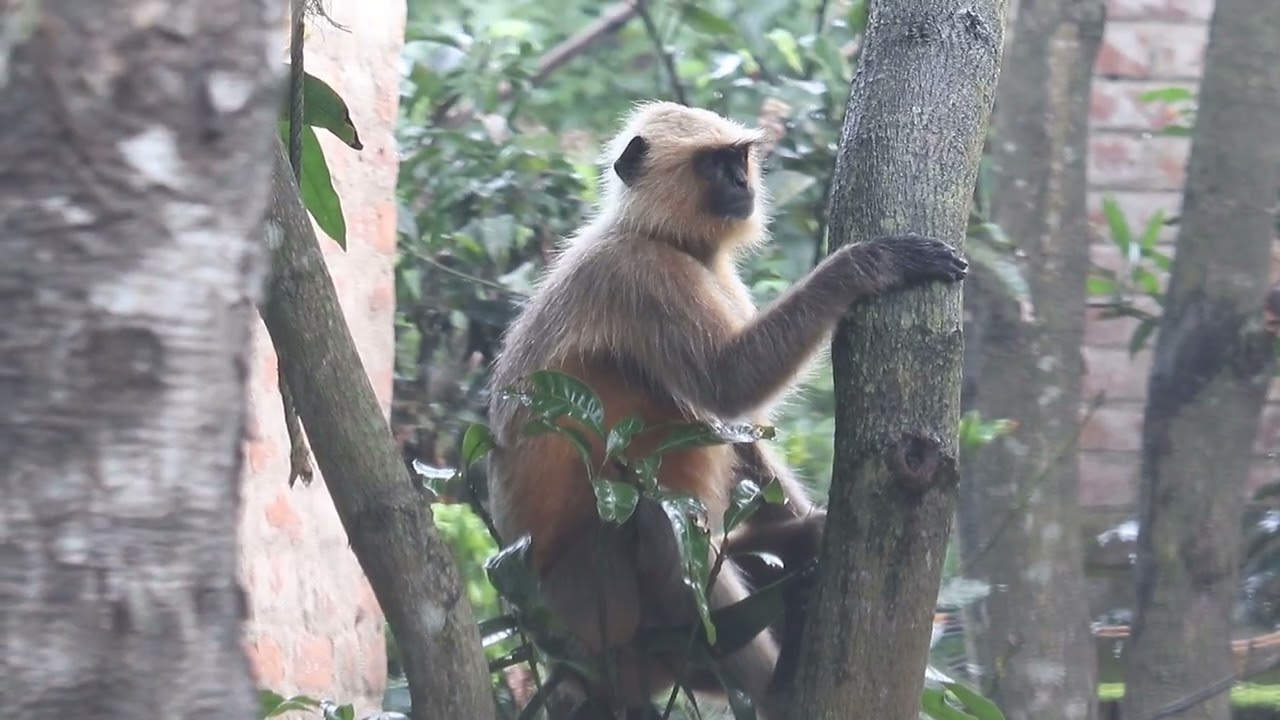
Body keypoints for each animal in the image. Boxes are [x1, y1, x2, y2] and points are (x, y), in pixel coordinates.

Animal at [484, 100, 968, 718]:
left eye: (739, 159)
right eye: (715, 165)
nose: (742, 183)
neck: (662, 236)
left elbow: (739, 430)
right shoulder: (638, 271)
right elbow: (730, 384)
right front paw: (871, 263)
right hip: (588, 612)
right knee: (658, 520)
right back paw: (776, 685)